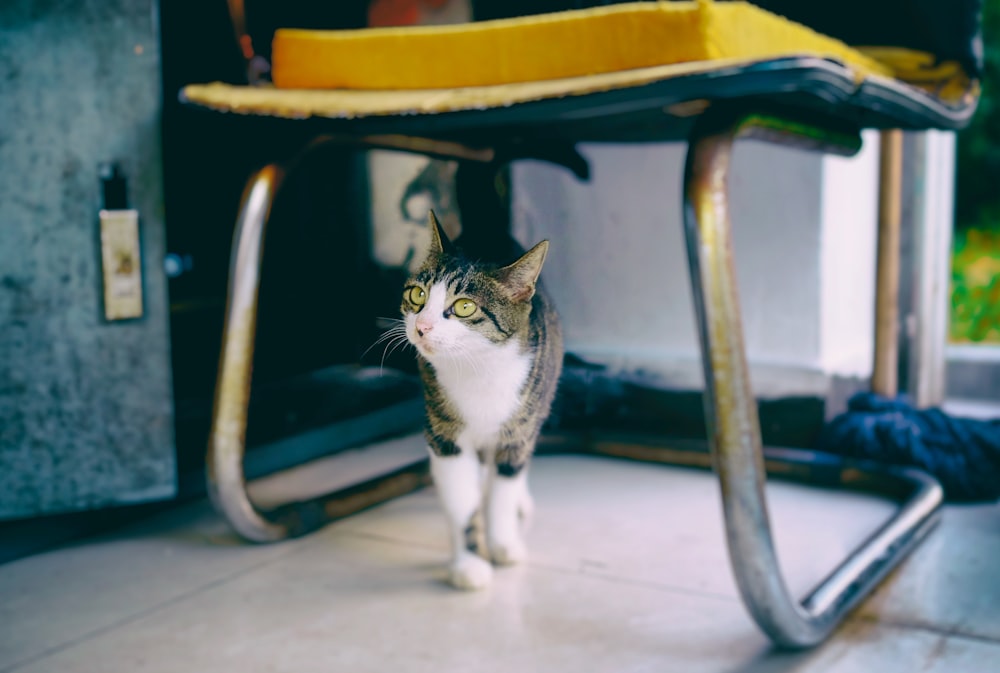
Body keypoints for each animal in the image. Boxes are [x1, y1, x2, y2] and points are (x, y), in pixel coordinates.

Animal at [404, 210, 564, 588]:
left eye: (464, 306)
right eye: (417, 295)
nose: (421, 327)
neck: (478, 368)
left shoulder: (518, 431)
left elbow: (503, 491)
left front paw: (503, 544)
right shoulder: (445, 437)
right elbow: (462, 501)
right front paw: (469, 565)